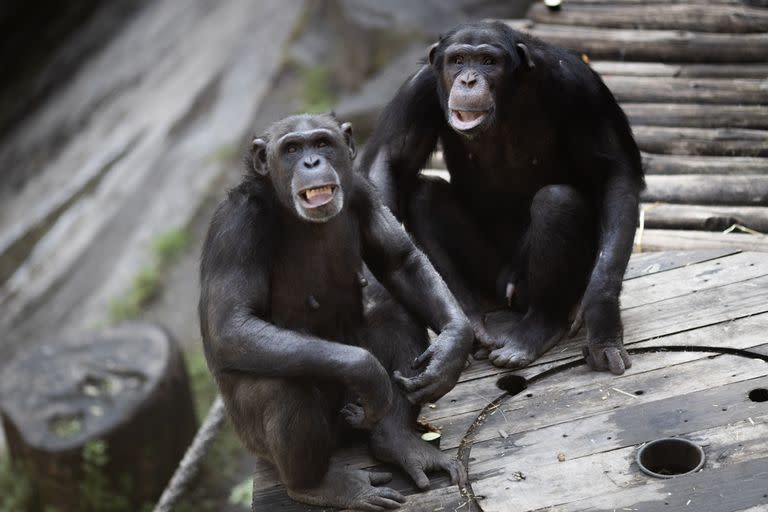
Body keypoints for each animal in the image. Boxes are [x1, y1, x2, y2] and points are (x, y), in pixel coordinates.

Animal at [198, 114, 472, 510]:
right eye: (291, 149)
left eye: (322, 143)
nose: (312, 162)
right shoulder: (236, 228)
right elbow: (231, 324)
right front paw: (368, 373)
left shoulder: (362, 191)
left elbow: (400, 261)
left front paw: (452, 349)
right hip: (260, 441)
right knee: (282, 386)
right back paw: (320, 486)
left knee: (393, 312)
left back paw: (399, 442)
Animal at [360, 21, 640, 376]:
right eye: (458, 60)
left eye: (488, 61)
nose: (468, 79)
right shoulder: (416, 91)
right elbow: (390, 163)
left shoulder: (581, 87)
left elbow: (613, 173)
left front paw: (602, 319)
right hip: (487, 277)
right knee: (424, 196)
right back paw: (471, 320)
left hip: (522, 285)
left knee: (557, 201)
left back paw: (534, 332)